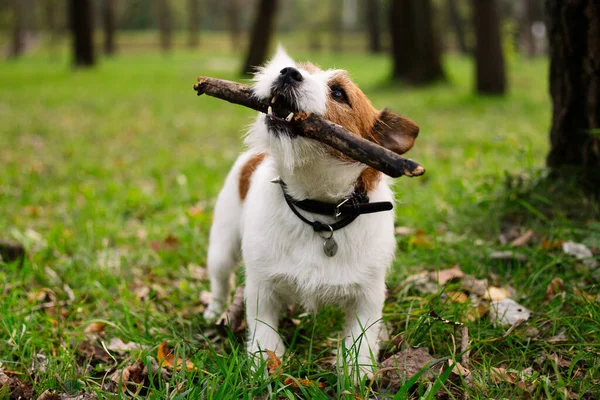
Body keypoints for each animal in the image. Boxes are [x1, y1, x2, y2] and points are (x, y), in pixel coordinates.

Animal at [204, 48, 420, 380]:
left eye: (339, 93)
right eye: (300, 69)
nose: (287, 72)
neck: (320, 211)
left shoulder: (368, 295)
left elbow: (360, 335)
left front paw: (356, 373)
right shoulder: (262, 286)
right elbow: (264, 328)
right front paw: (264, 364)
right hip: (222, 247)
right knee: (220, 281)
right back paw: (214, 311)